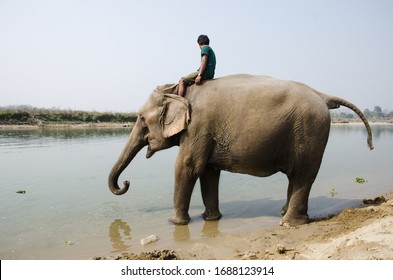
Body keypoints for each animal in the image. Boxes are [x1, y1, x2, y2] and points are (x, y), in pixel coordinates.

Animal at [108, 75, 374, 228]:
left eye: (141, 118)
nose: (126, 183)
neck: (179, 91)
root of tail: (322, 94)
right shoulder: (205, 132)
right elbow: (208, 171)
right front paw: (211, 219)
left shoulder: (198, 126)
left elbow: (187, 166)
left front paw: (175, 224)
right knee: (296, 176)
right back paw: (284, 214)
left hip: (310, 130)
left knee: (303, 175)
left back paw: (289, 224)